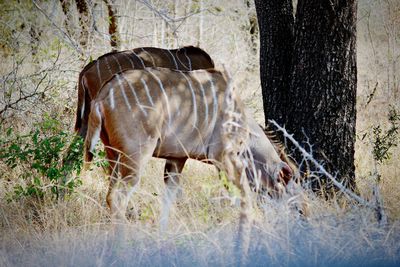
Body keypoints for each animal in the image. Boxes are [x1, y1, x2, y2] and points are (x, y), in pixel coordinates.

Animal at [83, 67, 294, 260]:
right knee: (117, 197)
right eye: (285, 189)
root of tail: (101, 98)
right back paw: (121, 253)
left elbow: (168, 200)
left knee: (110, 194)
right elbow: (245, 199)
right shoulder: (222, 157)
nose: (286, 222)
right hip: (136, 156)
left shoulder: (176, 160)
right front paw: (242, 253)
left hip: (113, 155)